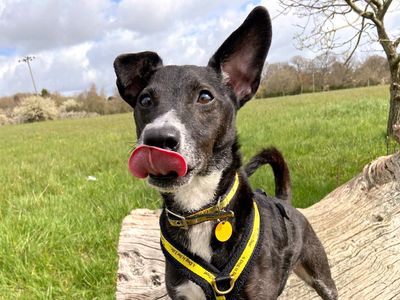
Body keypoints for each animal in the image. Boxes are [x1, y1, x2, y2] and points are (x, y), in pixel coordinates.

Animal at [113, 5, 338, 298]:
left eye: (205, 97)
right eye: (145, 100)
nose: (157, 139)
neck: (199, 211)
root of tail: (287, 204)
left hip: (321, 275)